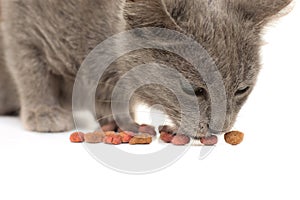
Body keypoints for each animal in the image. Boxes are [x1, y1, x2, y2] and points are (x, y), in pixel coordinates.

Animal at [0, 0, 290, 138]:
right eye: (192, 89)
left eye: (242, 89)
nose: (218, 129)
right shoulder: (20, 24)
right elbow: (29, 68)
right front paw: (44, 113)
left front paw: (120, 120)